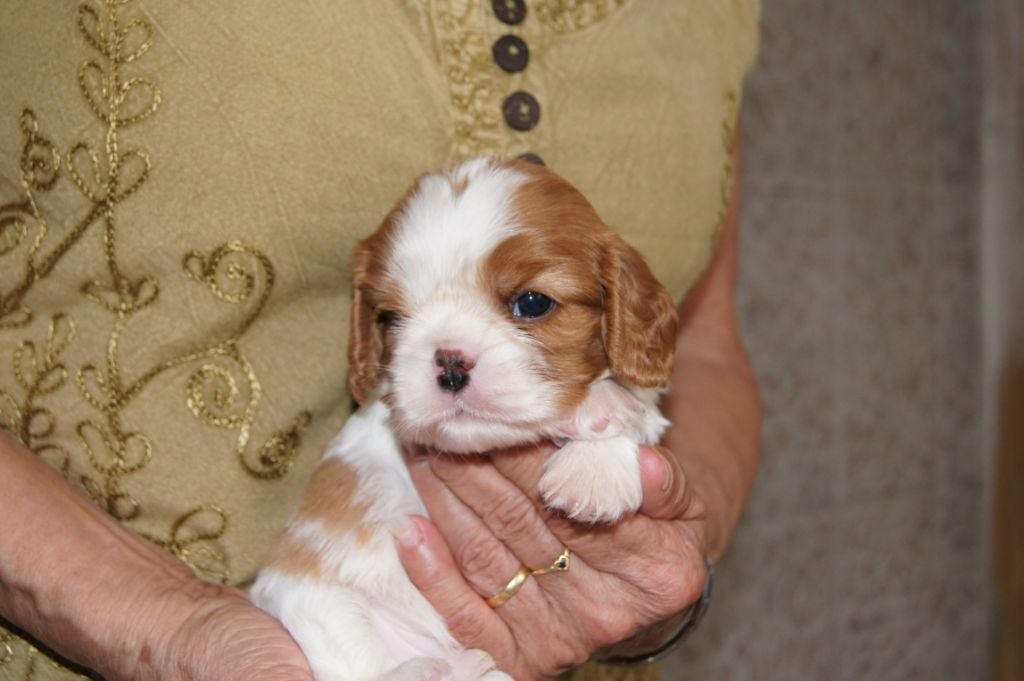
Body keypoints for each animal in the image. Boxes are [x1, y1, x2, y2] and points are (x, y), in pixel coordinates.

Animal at [250, 159, 675, 679]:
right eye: (390, 318)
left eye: (533, 303)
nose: (450, 363)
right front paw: (596, 410)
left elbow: (641, 409)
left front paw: (594, 465)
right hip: (310, 602)